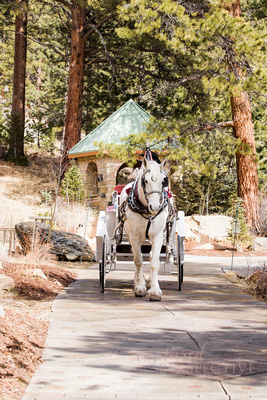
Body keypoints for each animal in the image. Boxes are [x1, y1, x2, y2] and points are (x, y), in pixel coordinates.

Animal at [120, 156, 171, 300]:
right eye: (146, 180)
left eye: (163, 181)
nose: (155, 207)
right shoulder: (134, 237)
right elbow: (138, 261)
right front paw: (139, 286)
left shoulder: (158, 236)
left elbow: (154, 262)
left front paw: (154, 289)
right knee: (137, 256)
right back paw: (140, 280)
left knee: (151, 255)